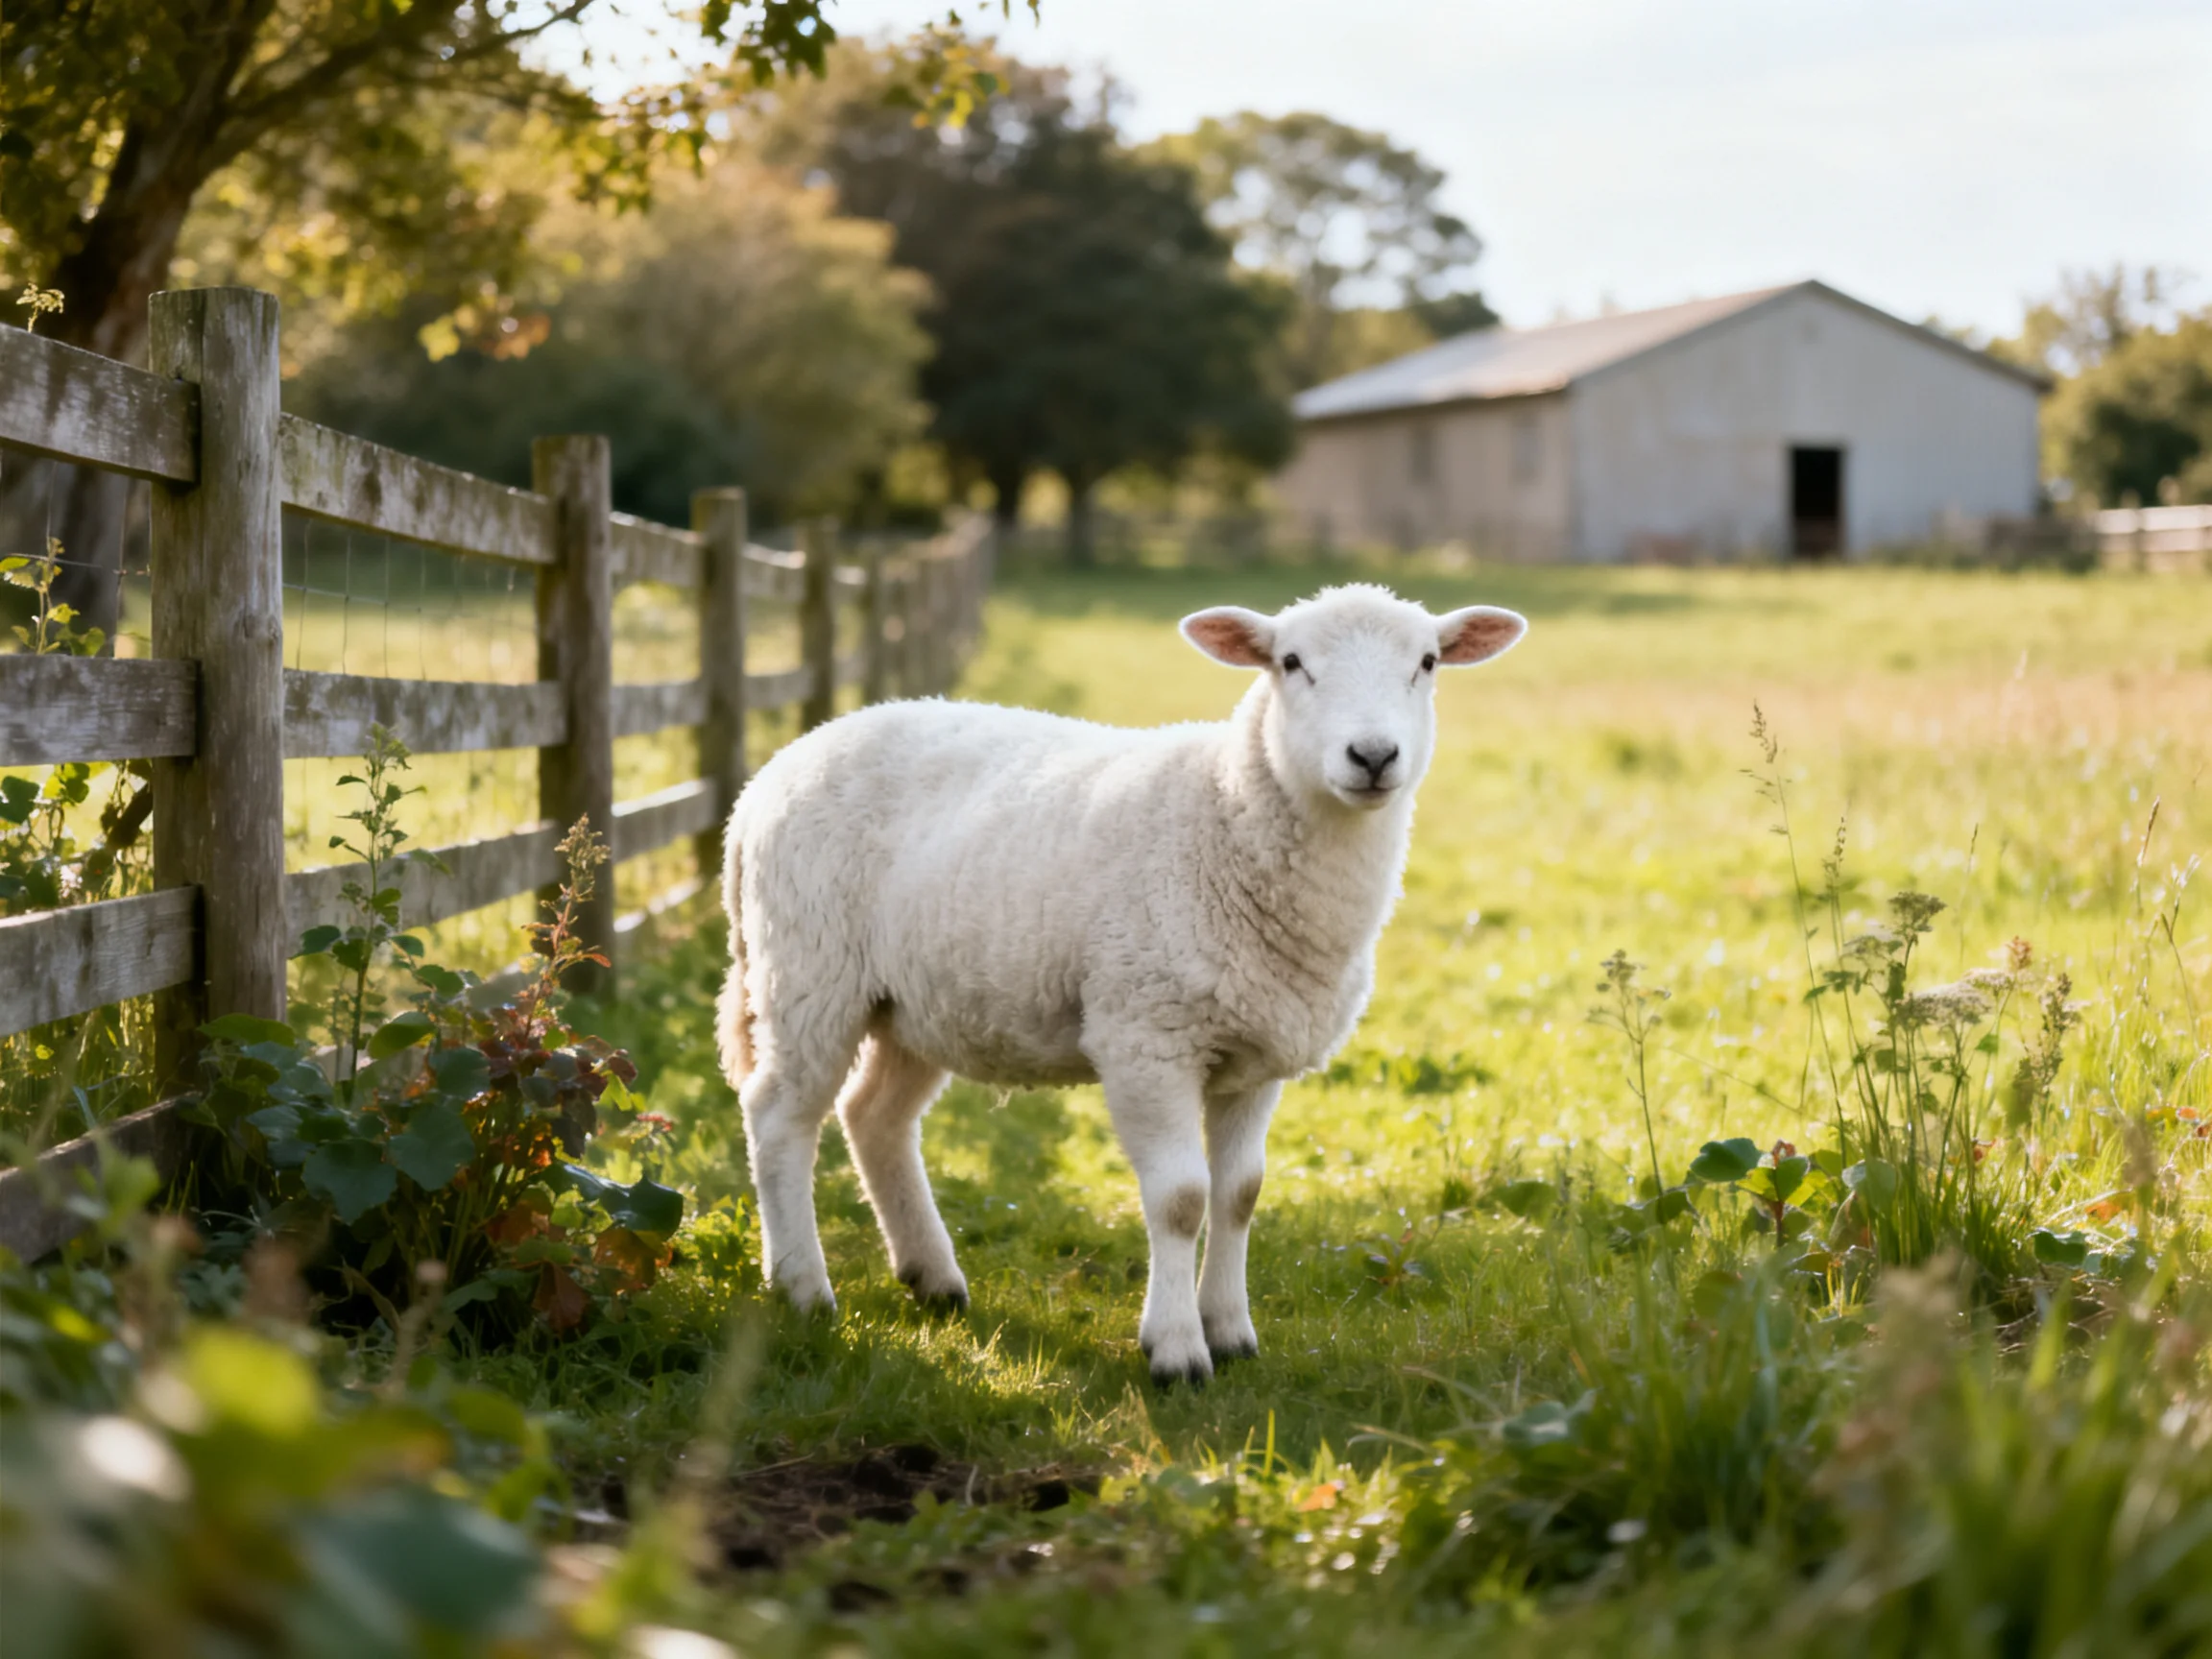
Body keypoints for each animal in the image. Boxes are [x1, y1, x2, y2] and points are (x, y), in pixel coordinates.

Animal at [717, 582, 1526, 1385]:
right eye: (1291, 662)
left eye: (1427, 662)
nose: (1374, 755)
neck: (1224, 814)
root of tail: (769, 777)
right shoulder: (1145, 1036)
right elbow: (1181, 1199)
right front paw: (1176, 1350)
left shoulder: (1256, 1051)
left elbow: (1239, 1195)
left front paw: (1231, 1331)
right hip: (808, 970)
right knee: (779, 1116)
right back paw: (802, 1288)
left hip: (916, 1000)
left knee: (874, 1116)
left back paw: (933, 1278)